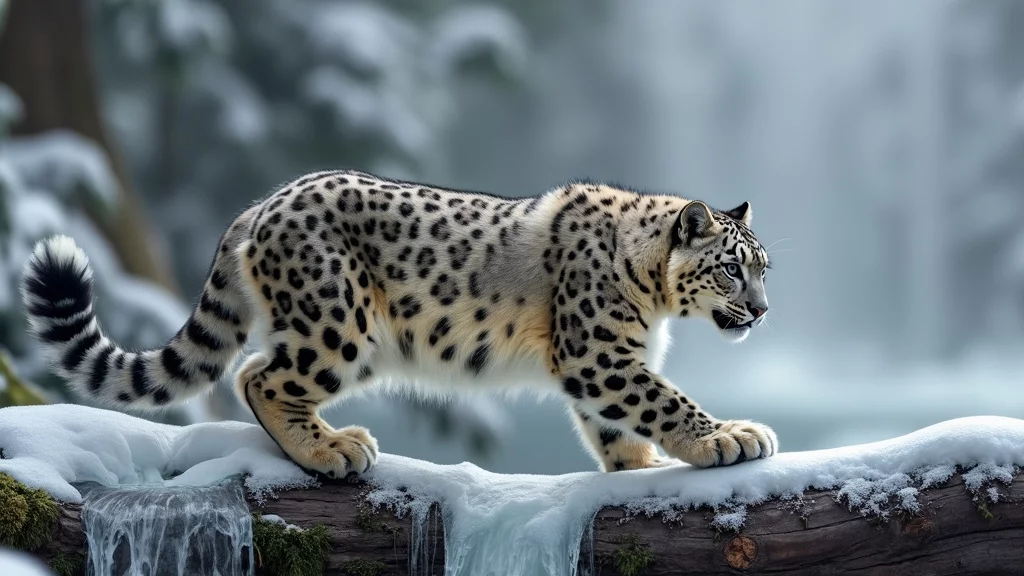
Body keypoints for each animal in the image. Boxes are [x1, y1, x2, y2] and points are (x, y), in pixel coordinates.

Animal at [21, 169, 776, 477]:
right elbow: (662, 399)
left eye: (765, 266)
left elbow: (619, 423)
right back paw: (332, 450)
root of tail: (264, 203)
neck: (654, 296)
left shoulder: (608, 360)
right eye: (732, 268)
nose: (764, 311)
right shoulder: (599, 354)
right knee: (262, 376)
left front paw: (638, 466)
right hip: (339, 324)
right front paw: (731, 437)